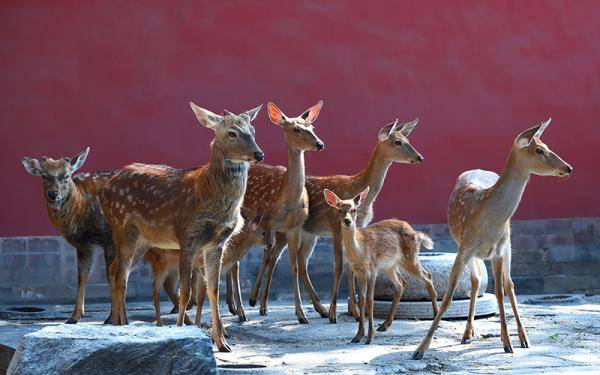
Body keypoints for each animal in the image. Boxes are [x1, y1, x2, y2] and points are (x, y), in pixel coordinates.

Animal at [21, 148, 116, 324]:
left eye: (66, 175)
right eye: (43, 175)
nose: (53, 194)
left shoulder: (110, 238)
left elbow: (112, 275)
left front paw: (112, 317)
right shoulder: (83, 244)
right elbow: (82, 276)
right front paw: (74, 316)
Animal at [101, 100, 262, 352]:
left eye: (253, 131)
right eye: (232, 133)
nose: (258, 154)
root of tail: (104, 187)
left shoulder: (216, 243)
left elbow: (212, 289)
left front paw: (222, 342)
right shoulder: (187, 235)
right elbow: (185, 292)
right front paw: (181, 331)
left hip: (142, 239)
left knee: (116, 270)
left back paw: (117, 322)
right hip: (121, 226)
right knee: (120, 275)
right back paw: (123, 324)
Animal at [251, 117, 424, 324]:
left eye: (407, 139)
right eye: (397, 142)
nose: (420, 157)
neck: (359, 190)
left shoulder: (355, 229)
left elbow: (351, 267)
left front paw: (354, 311)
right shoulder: (335, 226)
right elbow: (339, 267)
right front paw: (336, 313)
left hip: (309, 233)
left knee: (299, 261)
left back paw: (319, 308)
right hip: (285, 229)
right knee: (272, 256)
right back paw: (260, 305)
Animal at [326, 187, 438, 346]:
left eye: (354, 209)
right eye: (340, 210)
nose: (347, 221)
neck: (359, 250)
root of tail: (416, 233)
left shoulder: (372, 269)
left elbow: (370, 300)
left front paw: (369, 337)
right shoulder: (359, 272)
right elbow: (361, 300)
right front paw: (358, 336)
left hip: (410, 258)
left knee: (427, 276)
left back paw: (436, 317)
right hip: (391, 266)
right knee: (401, 284)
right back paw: (384, 325)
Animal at [410, 119, 576, 360]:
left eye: (546, 146)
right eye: (539, 150)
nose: (568, 168)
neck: (486, 214)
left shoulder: (498, 250)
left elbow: (499, 292)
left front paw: (507, 343)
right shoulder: (465, 247)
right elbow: (448, 296)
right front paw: (420, 349)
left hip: (508, 244)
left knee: (509, 285)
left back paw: (523, 338)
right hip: (466, 246)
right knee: (476, 281)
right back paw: (467, 333)